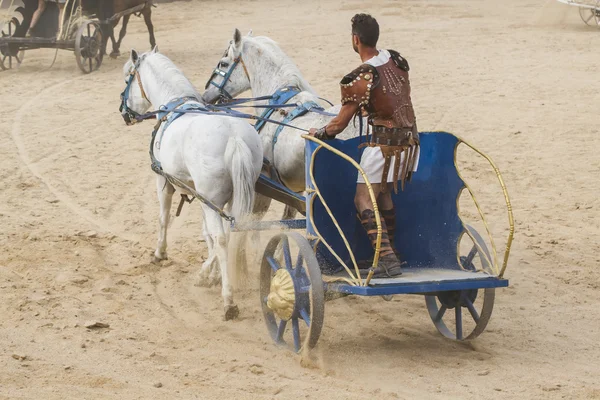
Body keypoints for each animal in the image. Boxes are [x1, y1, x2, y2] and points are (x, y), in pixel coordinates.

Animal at [119, 47, 262, 320]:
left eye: (126, 78)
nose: (123, 113)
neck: (176, 104)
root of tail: (234, 138)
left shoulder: (164, 181)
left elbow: (164, 218)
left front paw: (160, 253)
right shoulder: (201, 195)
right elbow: (206, 232)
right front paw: (211, 272)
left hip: (212, 200)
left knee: (223, 239)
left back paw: (228, 300)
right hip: (230, 199)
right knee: (231, 233)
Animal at [202, 28, 360, 270]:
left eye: (223, 63)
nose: (206, 95)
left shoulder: (263, 184)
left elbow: (251, 223)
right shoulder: (294, 188)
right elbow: (289, 218)